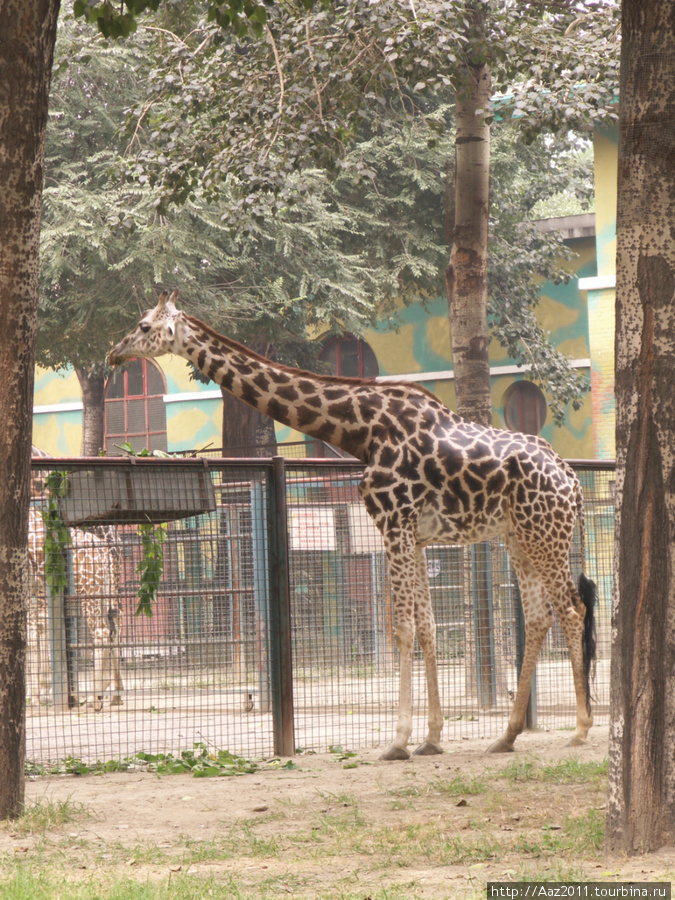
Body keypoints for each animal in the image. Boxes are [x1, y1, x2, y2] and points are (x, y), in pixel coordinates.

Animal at [27, 506, 125, 712]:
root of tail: (106, 550)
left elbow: (32, 636)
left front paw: (36, 697)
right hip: (105, 590)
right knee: (114, 624)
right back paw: (113, 695)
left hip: (89, 590)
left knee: (101, 632)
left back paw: (94, 699)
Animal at [107, 294, 596, 760]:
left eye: (144, 326)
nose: (114, 354)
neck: (360, 432)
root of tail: (573, 483)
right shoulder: (416, 536)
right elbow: (427, 626)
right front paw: (432, 738)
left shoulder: (393, 524)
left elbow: (402, 628)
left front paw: (398, 741)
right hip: (519, 538)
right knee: (539, 617)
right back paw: (507, 736)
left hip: (546, 535)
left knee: (572, 610)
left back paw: (580, 729)